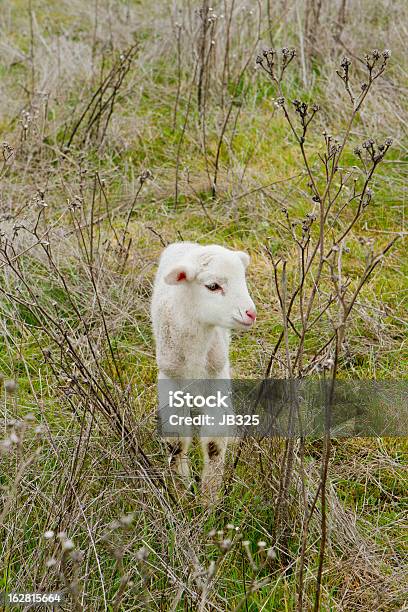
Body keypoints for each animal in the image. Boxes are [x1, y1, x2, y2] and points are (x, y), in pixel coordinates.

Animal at [151, 241, 256, 504]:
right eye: (212, 286)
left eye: (243, 279)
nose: (250, 313)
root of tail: (189, 245)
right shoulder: (170, 380)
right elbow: (176, 442)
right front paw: (181, 493)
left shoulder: (217, 378)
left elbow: (214, 444)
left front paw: (209, 499)